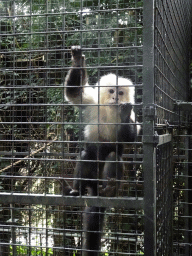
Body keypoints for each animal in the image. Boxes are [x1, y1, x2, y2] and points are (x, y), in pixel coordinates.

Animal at [65, 46, 137, 256]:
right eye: (111, 91)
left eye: (120, 92)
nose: (115, 97)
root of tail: (96, 190)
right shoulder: (92, 103)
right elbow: (74, 94)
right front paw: (78, 60)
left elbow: (130, 138)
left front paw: (124, 114)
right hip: (91, 179)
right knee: (87, 156)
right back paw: (78, 189)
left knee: (113, 157)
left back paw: (110, 190)